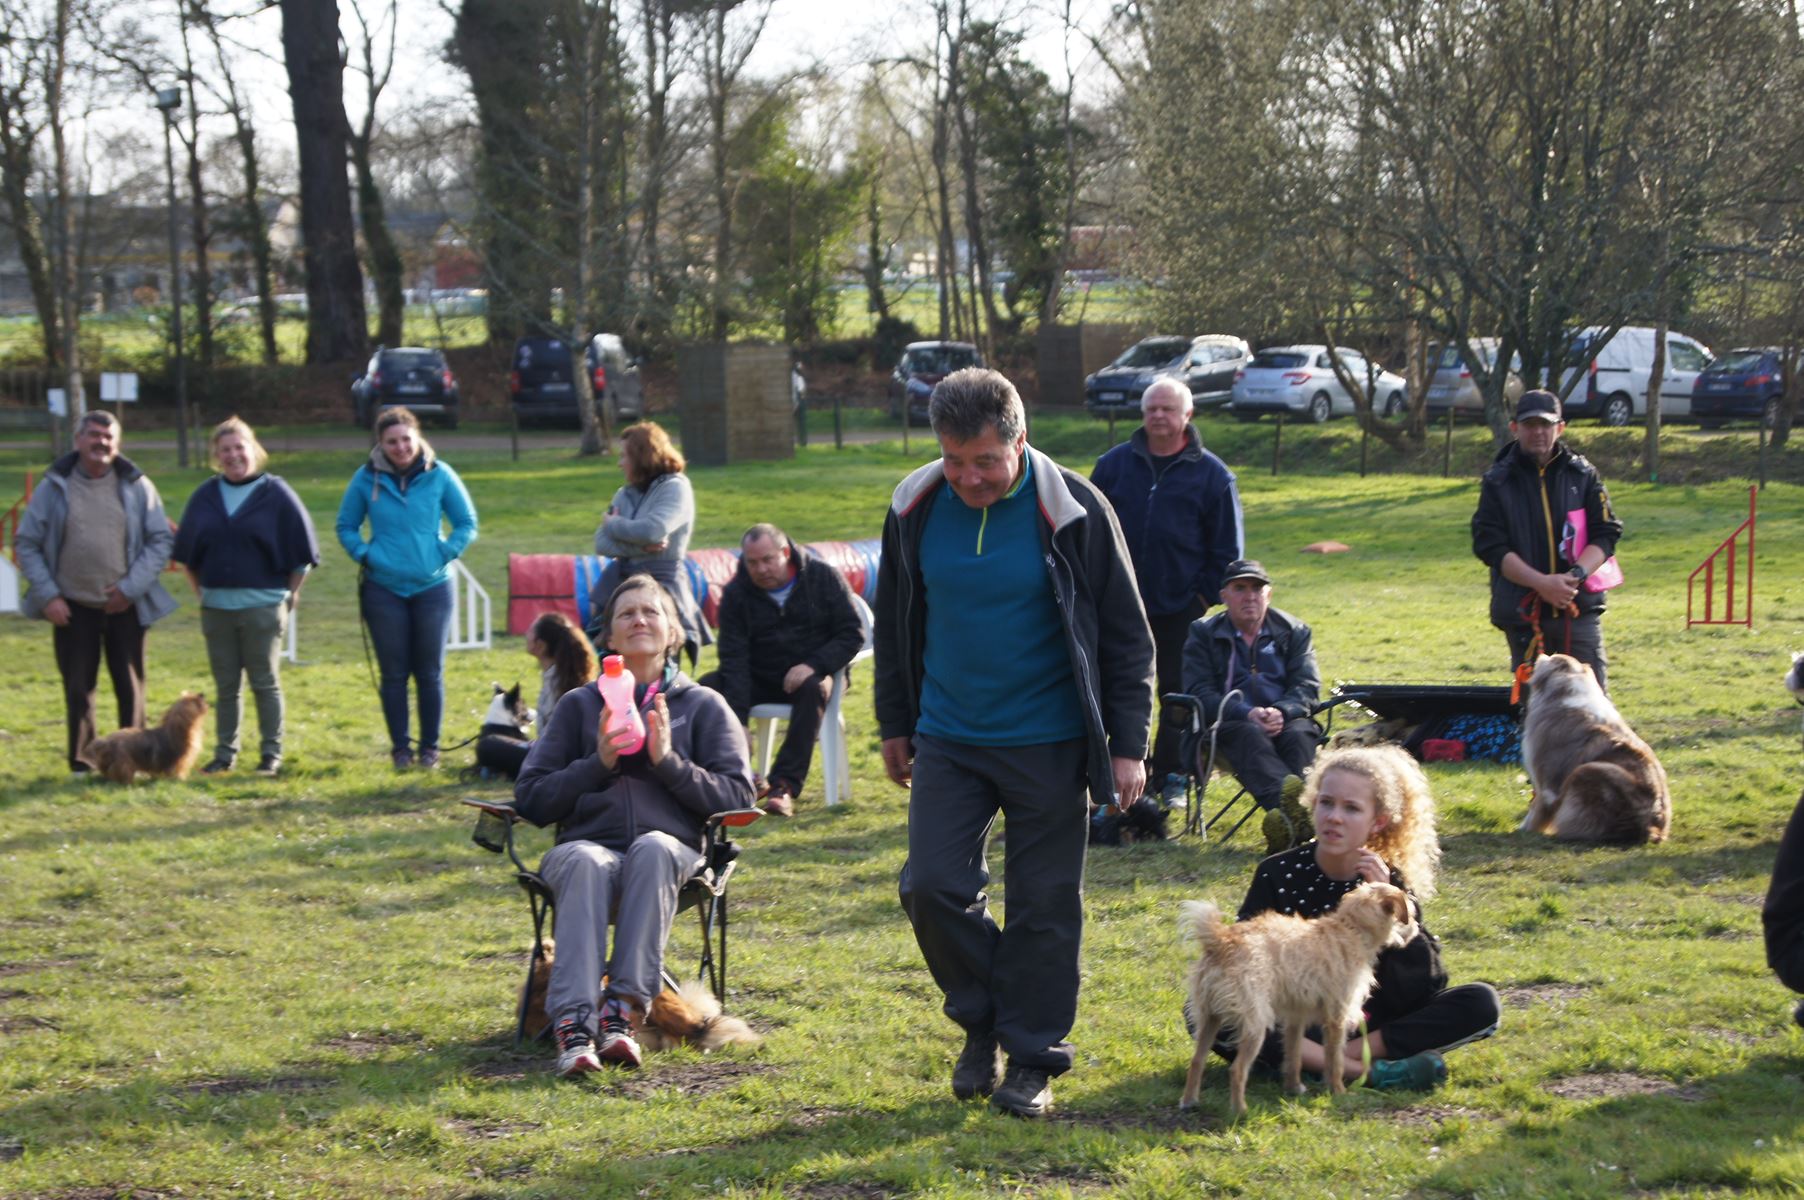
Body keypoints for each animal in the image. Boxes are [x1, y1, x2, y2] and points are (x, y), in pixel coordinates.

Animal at [78, 689, 206, 783]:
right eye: (194, 699)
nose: (202, 694)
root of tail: (105, 742)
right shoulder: (178, 761)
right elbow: (176, 772)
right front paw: (178, 780)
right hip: (124, 761)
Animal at [1176, 880, 1414, 1111]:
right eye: (1409, 913)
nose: (1417, 926)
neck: (1350, 928)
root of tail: (1220, 940)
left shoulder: (1295, 1017)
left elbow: (1294, 1054)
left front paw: (1293, 1088)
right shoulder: (1336, 1018)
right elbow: (1335, 1059)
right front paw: (1339, 1092)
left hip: (1209, 1018)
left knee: (1197, 1061)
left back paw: (1189, 1102)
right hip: (1255, 1025)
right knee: (1237, 1069)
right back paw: (1240, 1110)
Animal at [1515, 656, 1666, 840]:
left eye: (1552, 656)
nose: (1539, 656)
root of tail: (1651, 827)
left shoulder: (1545, 780)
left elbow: (1536, 808)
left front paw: (1525, 829)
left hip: (1590, 770)